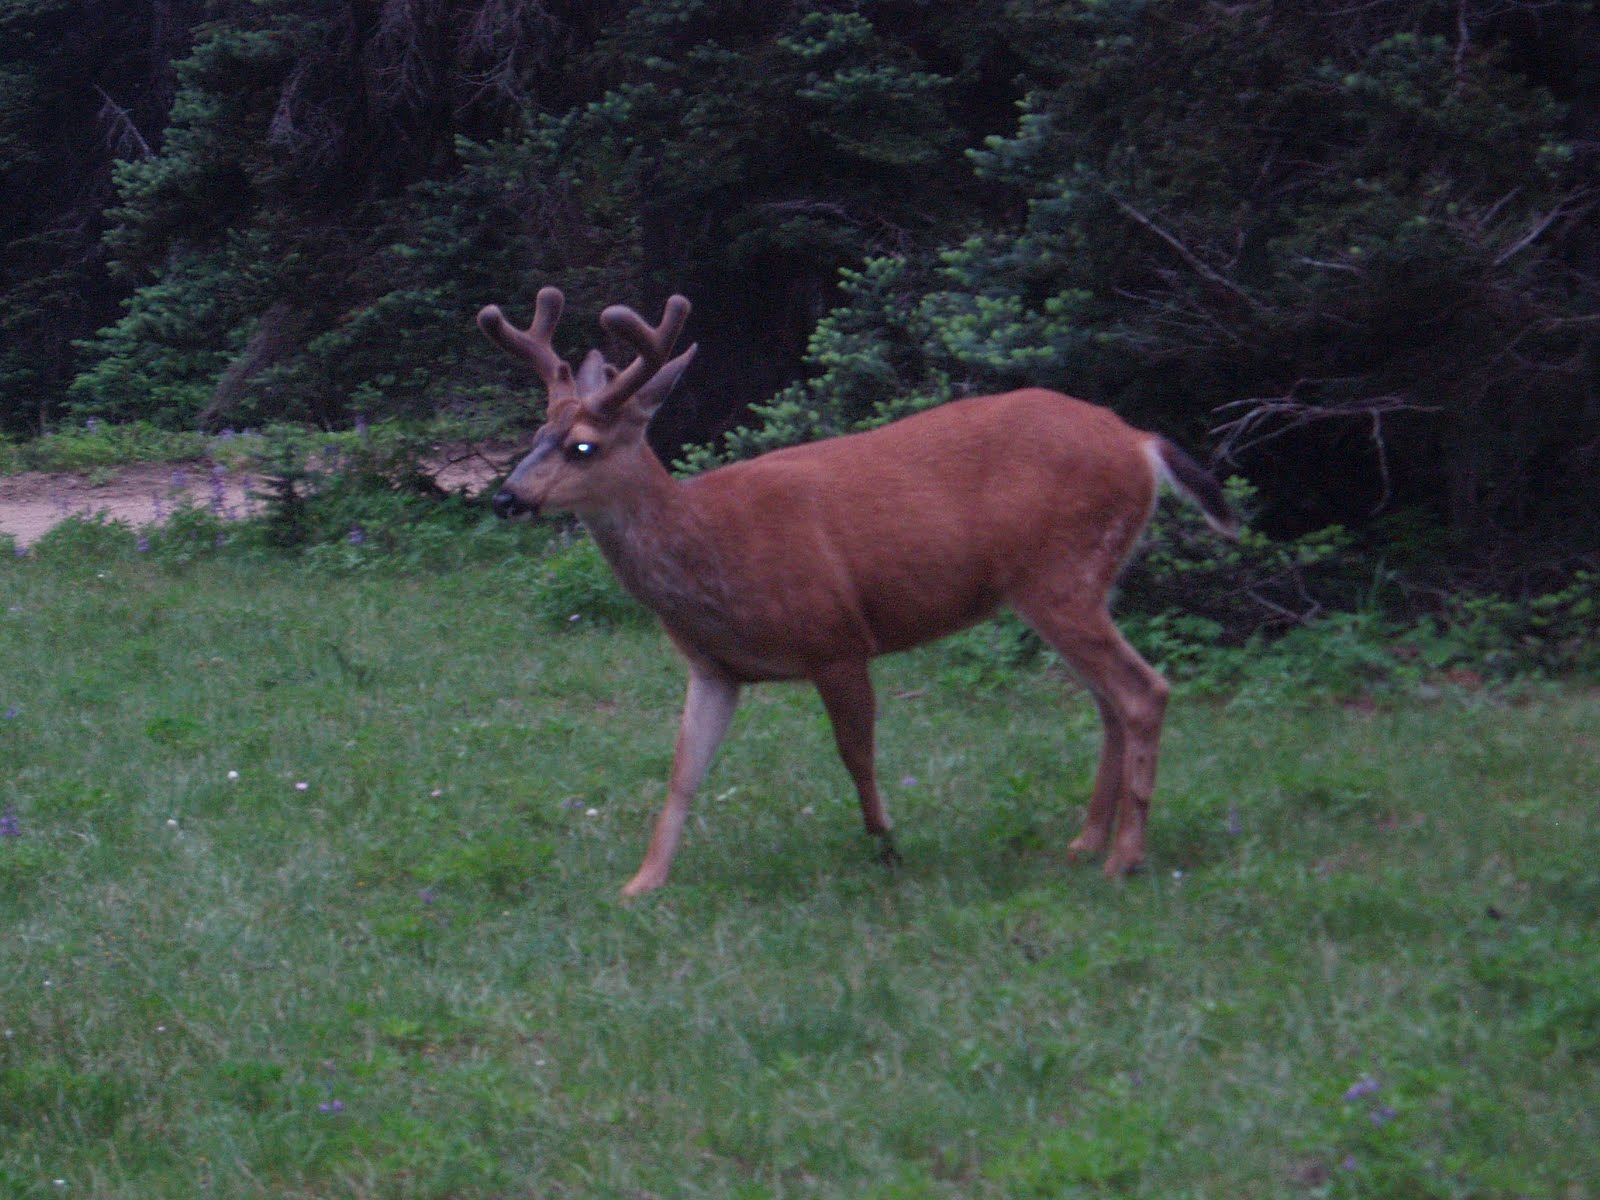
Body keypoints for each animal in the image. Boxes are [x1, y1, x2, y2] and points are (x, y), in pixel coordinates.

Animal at [480, 287, 1238, 898]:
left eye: (582, 447)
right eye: (537, 432)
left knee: (1144, 691)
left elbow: (857, 753)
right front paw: (642, 883)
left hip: (1062, 571)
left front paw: (887, 843)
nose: (506, 497)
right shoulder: (714, 666)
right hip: (1074, 582)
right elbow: (683, 771)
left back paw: (1125, 859)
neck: (710, 549)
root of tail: (1141, 442)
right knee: (1110, 701)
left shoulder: (837, 636)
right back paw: (1084, 844)